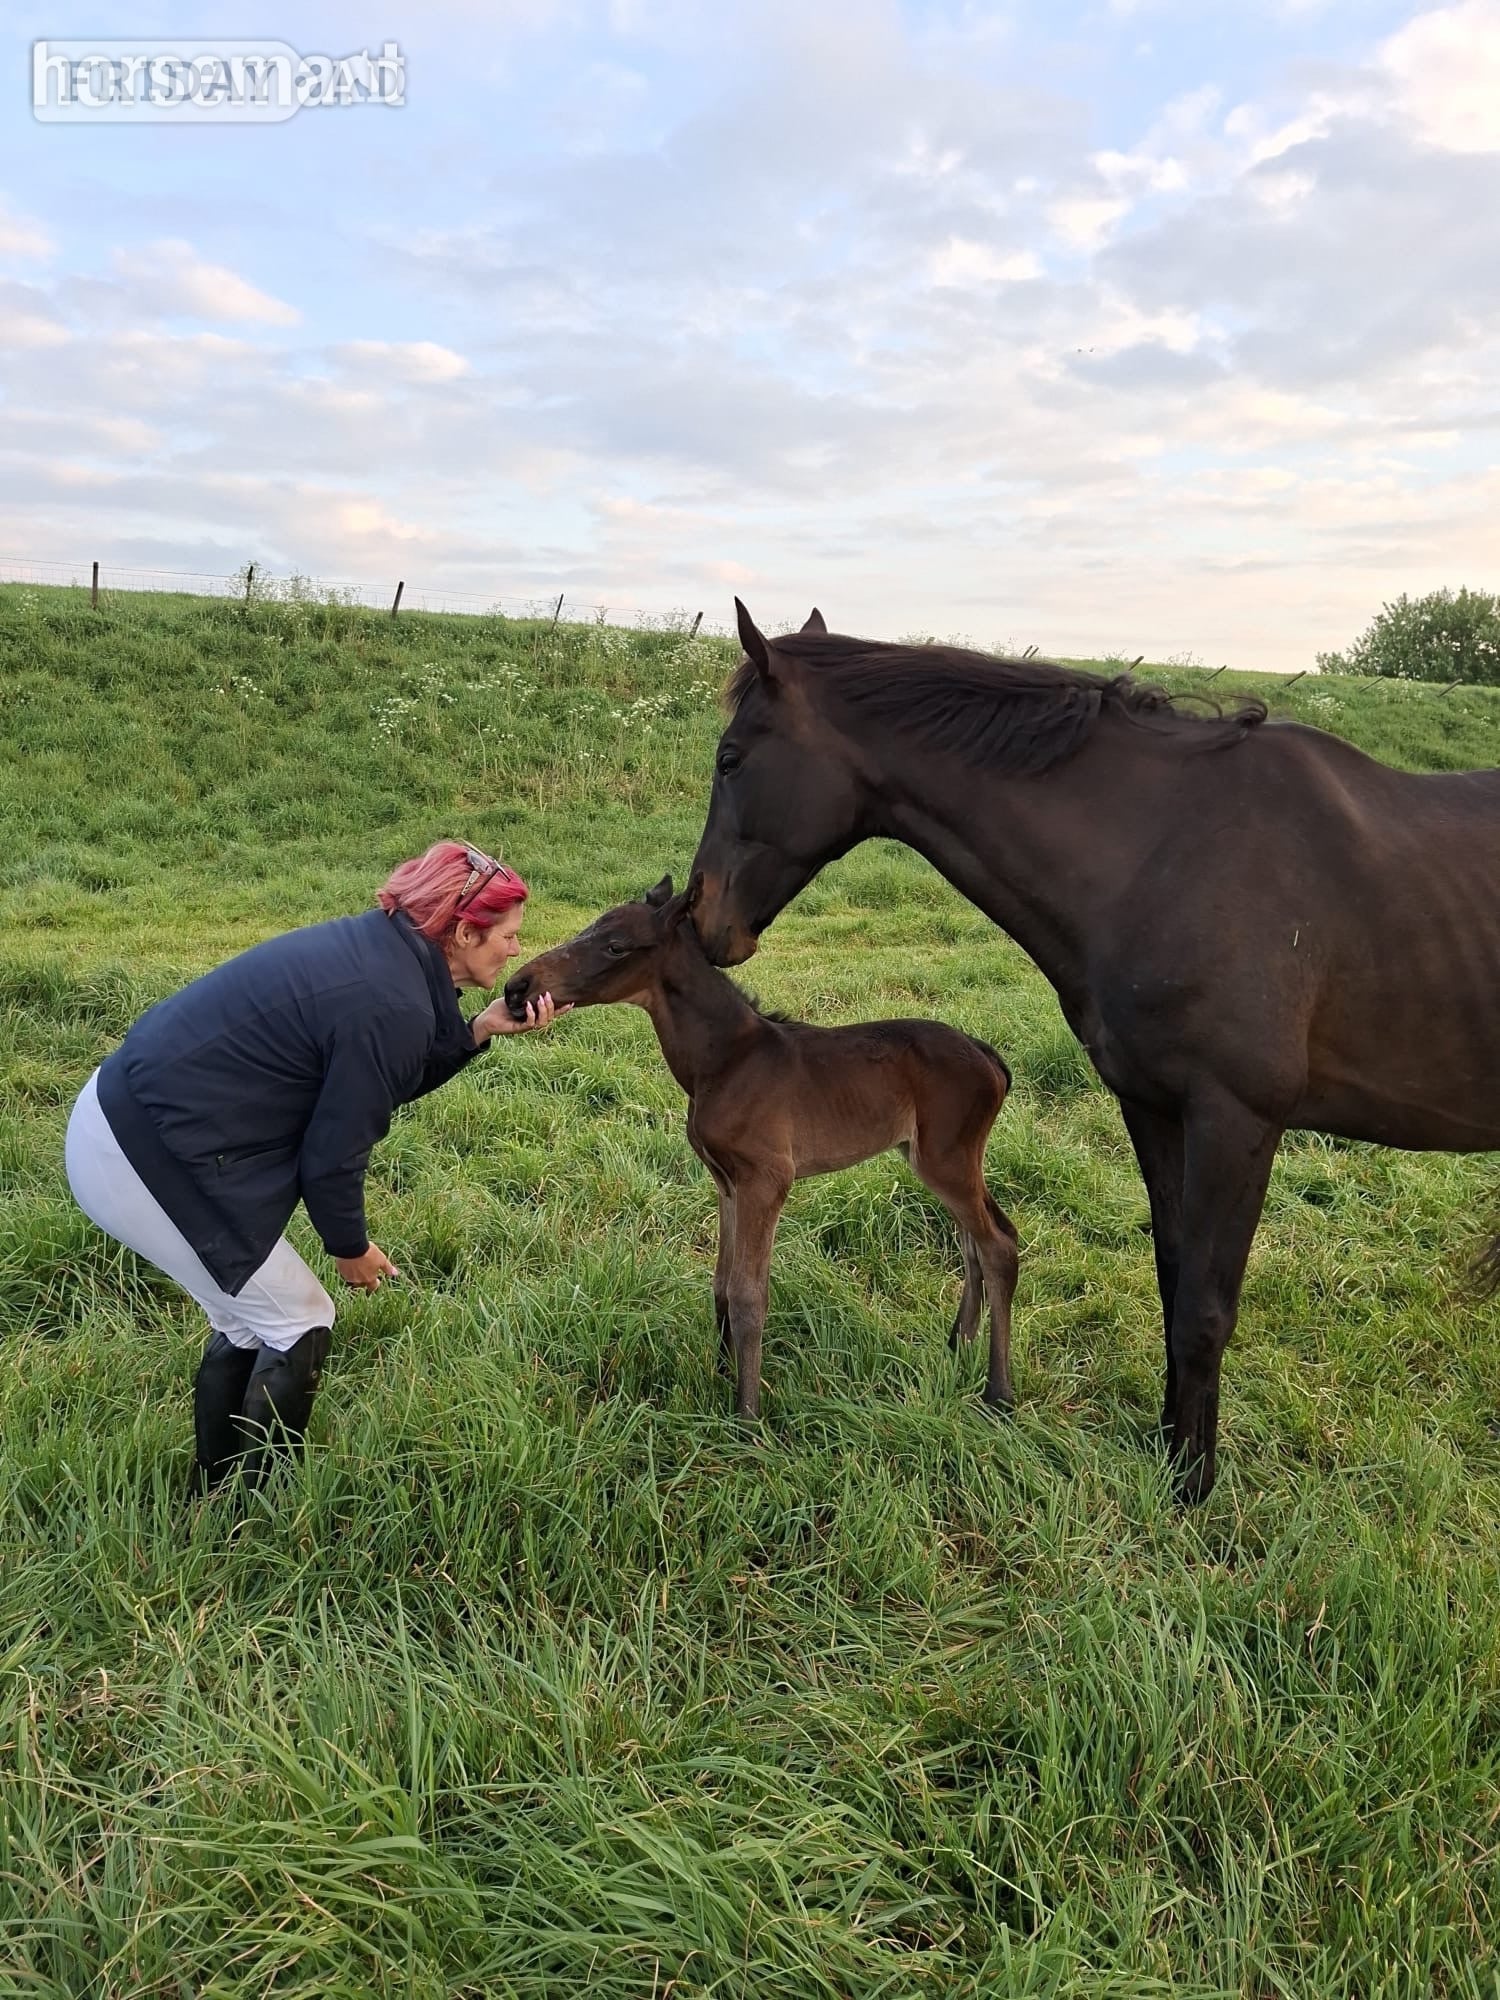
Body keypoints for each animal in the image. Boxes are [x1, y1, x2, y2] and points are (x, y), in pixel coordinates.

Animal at [505, 876, 1019, 1421]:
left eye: (616, 946)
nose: (517, 988)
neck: (725, 1060)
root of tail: (987, 1056)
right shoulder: (726, 1182)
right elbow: (721, 1284)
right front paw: (720, 1372)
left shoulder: (766, 1179)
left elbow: (749, 1294)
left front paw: (747, 1414)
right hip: (932, 1158)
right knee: (974, 1242)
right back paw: (957, 1346)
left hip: (947, 1159)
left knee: (997, 1246)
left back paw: (998, 1391)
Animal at [687, 600, 1500, 1502]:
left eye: (730, 758)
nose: (699, 915)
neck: (1163, 852)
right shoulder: (1154, 1108)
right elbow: (1175, 1281)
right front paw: (1171, 1449)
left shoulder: (1237, 1121)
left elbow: (1206, 1308)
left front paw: (1192, 1490)